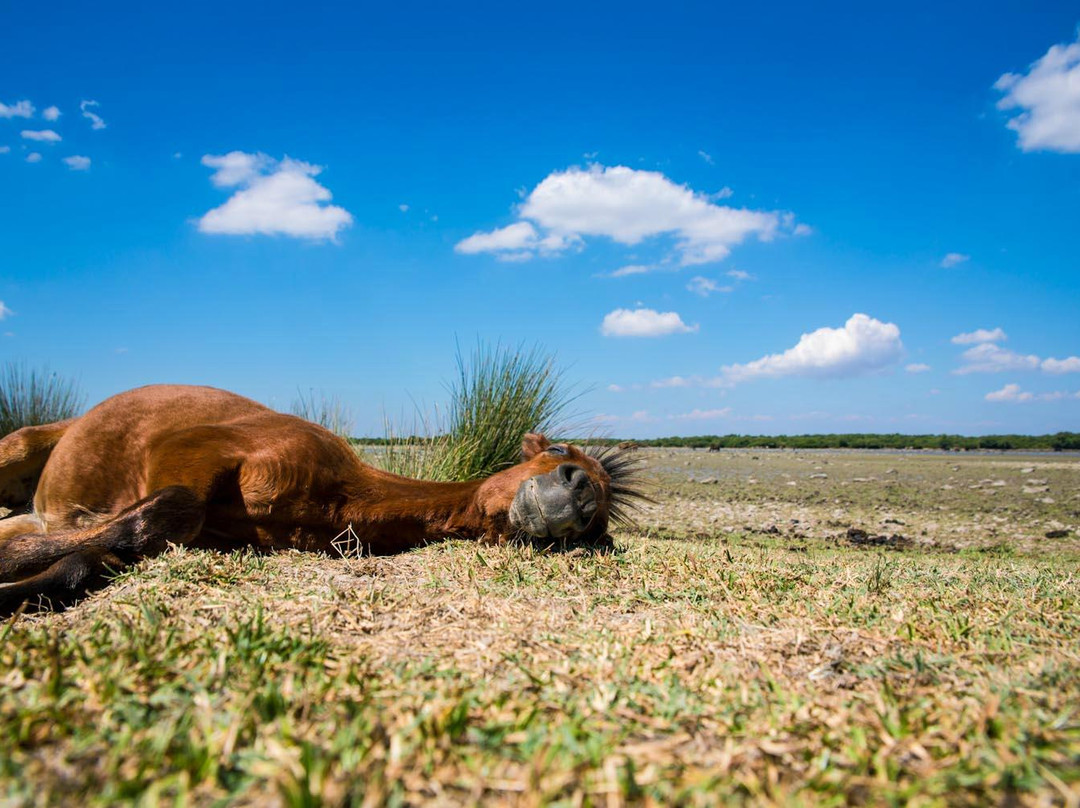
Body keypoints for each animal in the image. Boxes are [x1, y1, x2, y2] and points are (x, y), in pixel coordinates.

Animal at [0, 384, 639, 613]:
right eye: (558, 449)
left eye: (597, 526)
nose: (578, 495)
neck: (336, 493)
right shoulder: (189, 451)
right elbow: (167, 509)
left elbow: (94, 558)